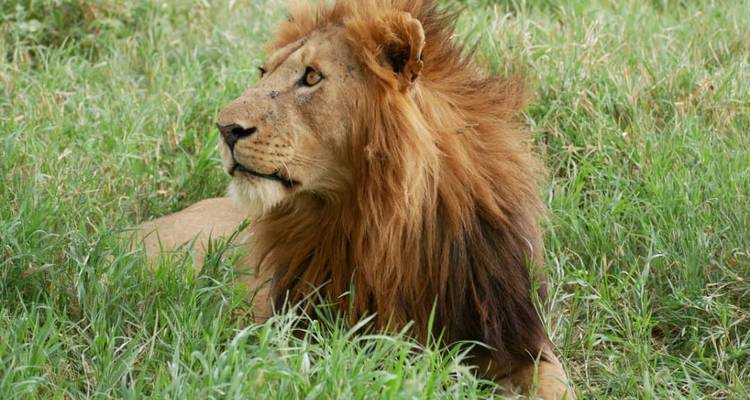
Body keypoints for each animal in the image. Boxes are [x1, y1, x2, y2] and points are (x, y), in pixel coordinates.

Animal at [136, 0, 575, 398]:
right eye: (264, 72)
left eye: (312, 76)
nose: (225, 128)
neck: (382, 219)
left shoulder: (515, 338)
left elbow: (556, 384)